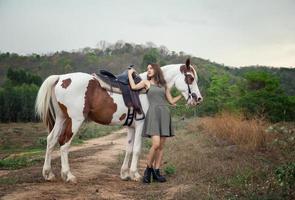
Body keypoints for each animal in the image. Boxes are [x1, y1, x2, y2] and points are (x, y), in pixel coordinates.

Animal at [34, 57, 202, 183]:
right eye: (190, 78)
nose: (198, 99)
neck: (145, 90)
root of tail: (61, 78)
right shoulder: (140, 125)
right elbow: (137, 149)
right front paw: (135, 174)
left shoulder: (131, 127)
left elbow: (128, 149)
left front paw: (125, 174)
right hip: (75, 121)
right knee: (64, 144)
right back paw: (68, 175)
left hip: (61, 119)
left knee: (51, 141)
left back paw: (48, 173)